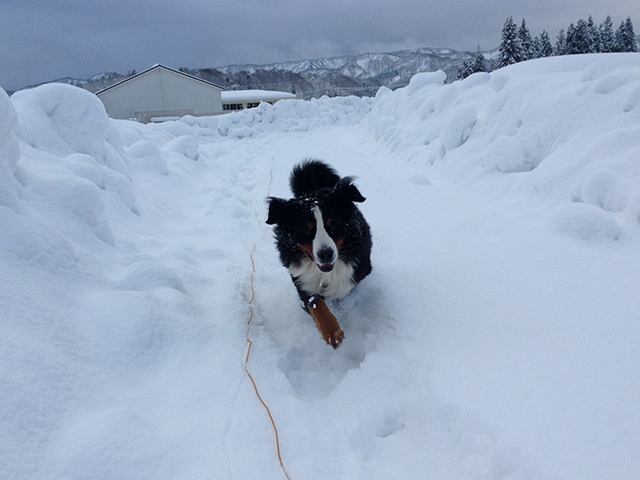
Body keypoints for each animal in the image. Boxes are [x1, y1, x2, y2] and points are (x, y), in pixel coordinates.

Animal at [264, 161, 372, 348]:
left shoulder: (355, 271)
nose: (326, 255)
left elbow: (340, 290)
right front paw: (332, 331)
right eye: (307, 230)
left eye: (332, 225)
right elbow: (316, 304)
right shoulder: (301, 281)